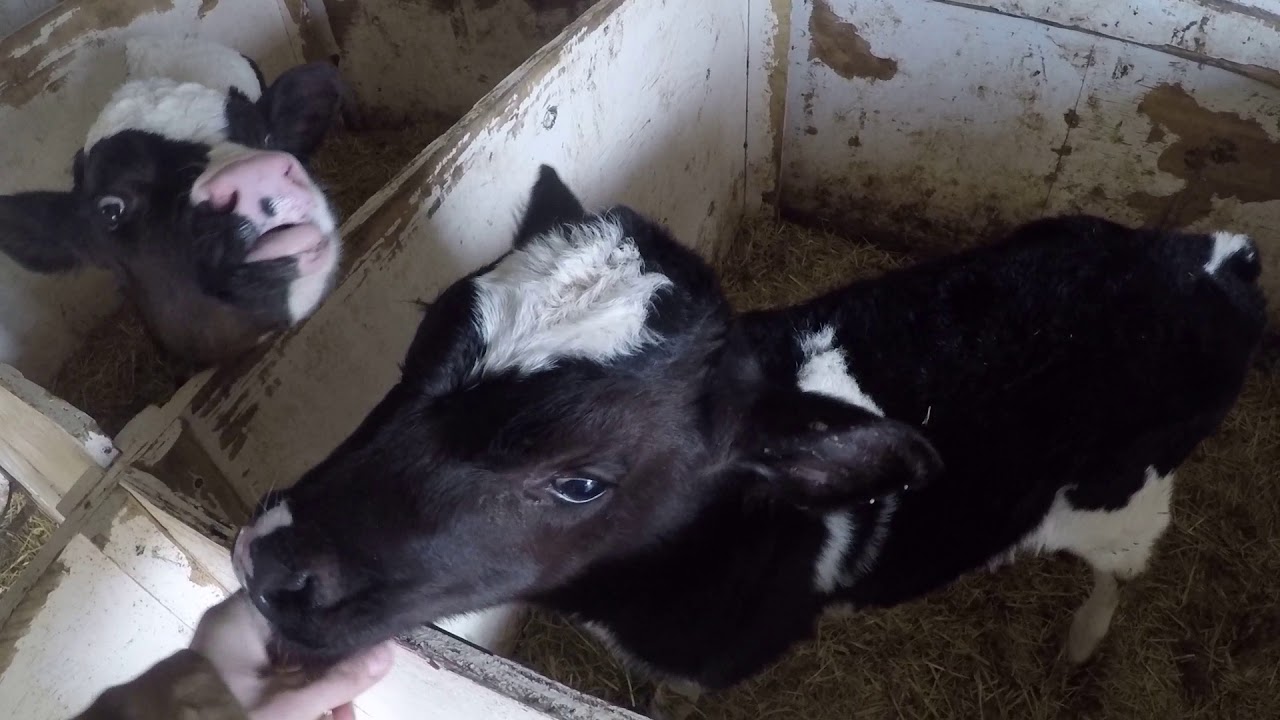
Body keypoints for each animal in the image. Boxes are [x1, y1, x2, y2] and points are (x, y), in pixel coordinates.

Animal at [231, 165, 1266, 716]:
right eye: (416, 345)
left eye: (581, 482)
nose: (271, 558)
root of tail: (1208, 256)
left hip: (1127, 496)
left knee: (1120, 571)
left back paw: (1082, 641)